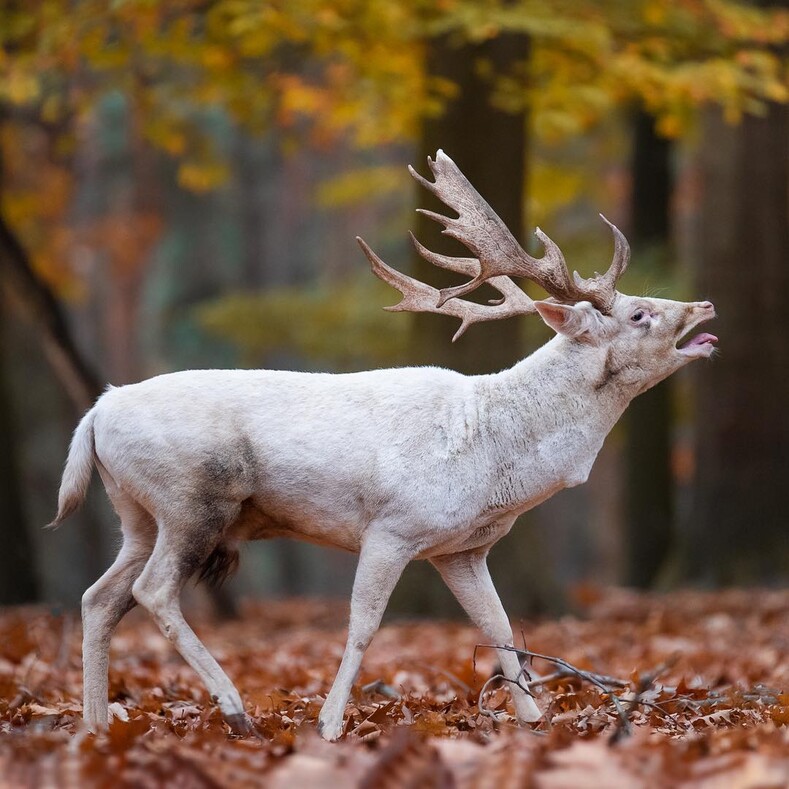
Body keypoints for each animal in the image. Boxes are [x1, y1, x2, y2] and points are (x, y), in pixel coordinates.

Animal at [47, 151, 716, 740]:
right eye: (638, 313)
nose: (704, 303)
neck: (496, 454)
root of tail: (96, 412)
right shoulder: (392, 526)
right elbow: (364, 626)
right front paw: (329, 724)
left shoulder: (462, 549)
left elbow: (501, 626)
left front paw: (534, 721)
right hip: (192, 499)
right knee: (151, 590)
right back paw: (234, 709)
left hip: (137, 514)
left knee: (98, 597)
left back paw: (96, 725)